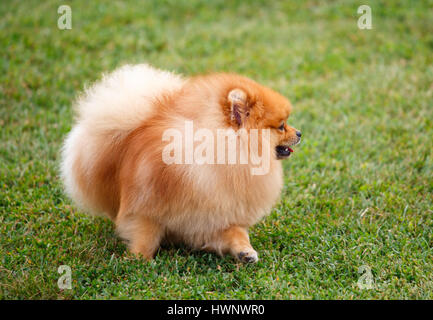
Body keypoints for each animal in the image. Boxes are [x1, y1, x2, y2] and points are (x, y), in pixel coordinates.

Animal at [60, 63, 298, 262]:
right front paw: (137, 260)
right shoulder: (146, 208)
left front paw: (245, 252)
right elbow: (145, 235)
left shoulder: (218, 212)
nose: (300, 133)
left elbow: (236, 233)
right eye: (281, 126)